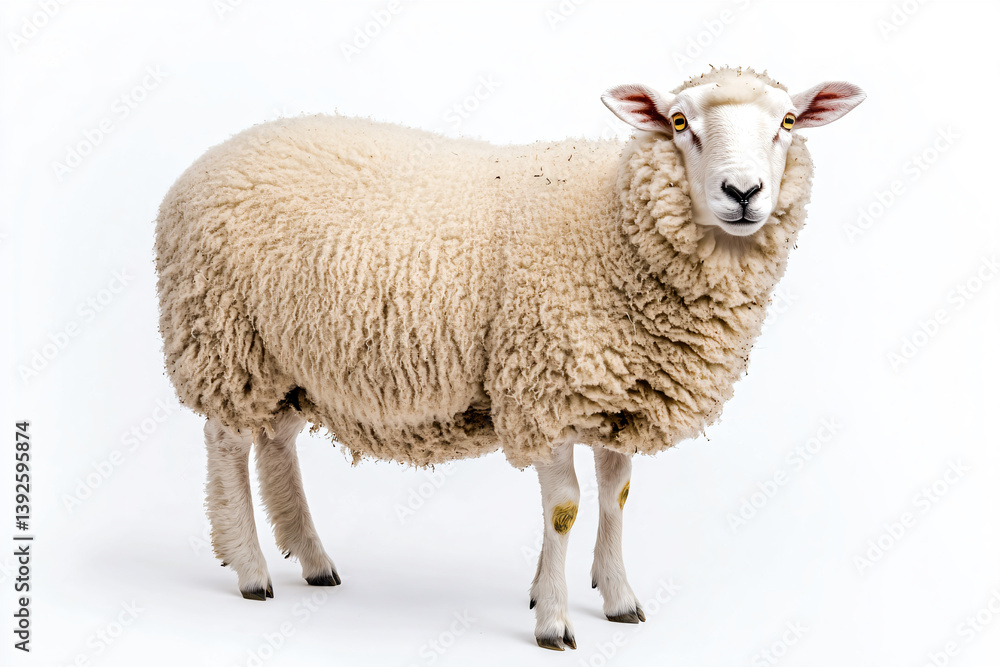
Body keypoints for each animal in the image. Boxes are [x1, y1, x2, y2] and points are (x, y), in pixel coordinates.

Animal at [154, 66, 865, 650]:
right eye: (680, 121)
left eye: (788, 122)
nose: (742, 192)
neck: (611, 226)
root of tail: (205, 162)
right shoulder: (542, 387)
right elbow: (566, 508)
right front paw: (552, 619)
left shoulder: (621, 392)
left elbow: (617, 495)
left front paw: (618, 597)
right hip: (224, 339)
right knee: (228, 445)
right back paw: (251, 569)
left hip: (285, 358)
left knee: (275, 442)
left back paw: (312, 559)